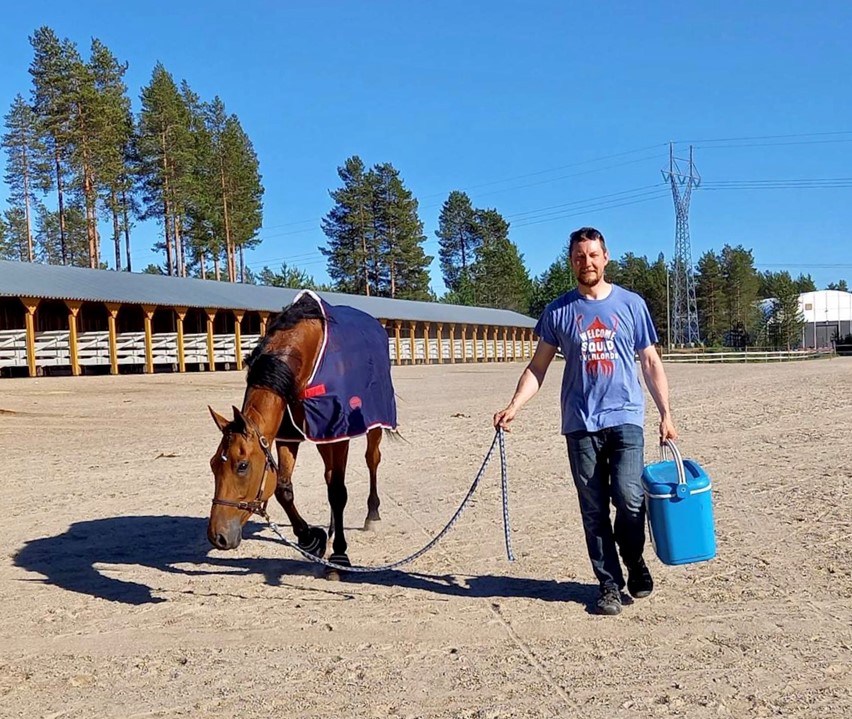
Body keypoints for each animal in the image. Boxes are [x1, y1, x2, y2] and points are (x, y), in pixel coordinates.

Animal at [206, 290, 396, 576]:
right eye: (213, 464)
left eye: (242, 466)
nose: (217, 536)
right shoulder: (289, 435)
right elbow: (283, 489)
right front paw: (311, 539)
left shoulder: (338, 434)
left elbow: (338, 491)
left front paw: (339, 556)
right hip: (321, 437)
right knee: (329, 474)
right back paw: (331, 529)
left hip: (373, 424)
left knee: (371, 461)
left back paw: (372, 515)